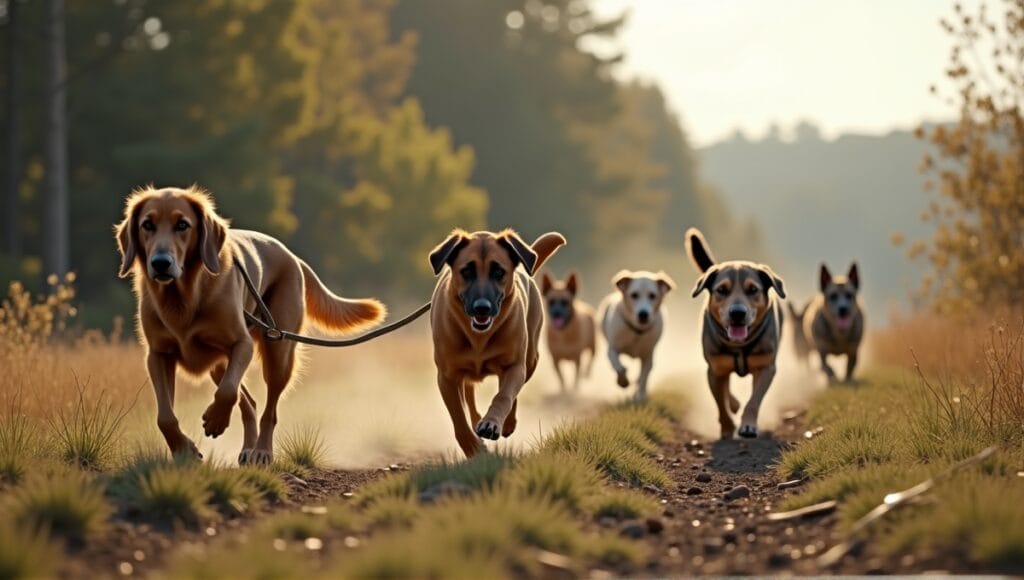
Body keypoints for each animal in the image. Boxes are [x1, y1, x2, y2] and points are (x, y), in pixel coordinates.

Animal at [113, 187, 385, 469]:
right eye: (147, 225)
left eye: (182, 225)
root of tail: (292, 256)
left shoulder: (240, 344)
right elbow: (165, 416)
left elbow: (227, 392)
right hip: (220, 365)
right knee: (250, 402)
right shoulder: (158, 355)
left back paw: (262, 451)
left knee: (269, 409)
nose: (160, 263)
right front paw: (185, 450)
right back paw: (247, 448)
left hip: (278, 354)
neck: (183, 299)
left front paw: (215, 420)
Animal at [425, 227, 565, 459]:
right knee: (469, 394)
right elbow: (458, 417)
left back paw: (506, 423)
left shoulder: (513, 365)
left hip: (530, 360)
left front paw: (492, 424)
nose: (482, 307)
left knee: (513, 390)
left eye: (498, 272)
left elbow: (504, 396)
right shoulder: (447, 376)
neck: (479, 338)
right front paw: (474, 449)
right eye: (467, 271)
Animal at [598, 270, 675, 401]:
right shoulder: (613, 348)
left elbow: (644, 377)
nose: (643, 314)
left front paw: (641, 396)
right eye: (634, 295)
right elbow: (619, 366)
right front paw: (623, 381)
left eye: (652, 295)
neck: (637, 332)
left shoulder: (648, 355)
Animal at [684, 227, 786, 440]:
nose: (737, 313)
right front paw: (727, 429)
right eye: (722, 290)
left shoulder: (766, 366)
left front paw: (747, 425)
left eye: (753, 289)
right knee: (726, 389)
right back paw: (733, 404)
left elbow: (754, 400)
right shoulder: (714, 369)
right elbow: (721, 404)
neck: (739, 345)